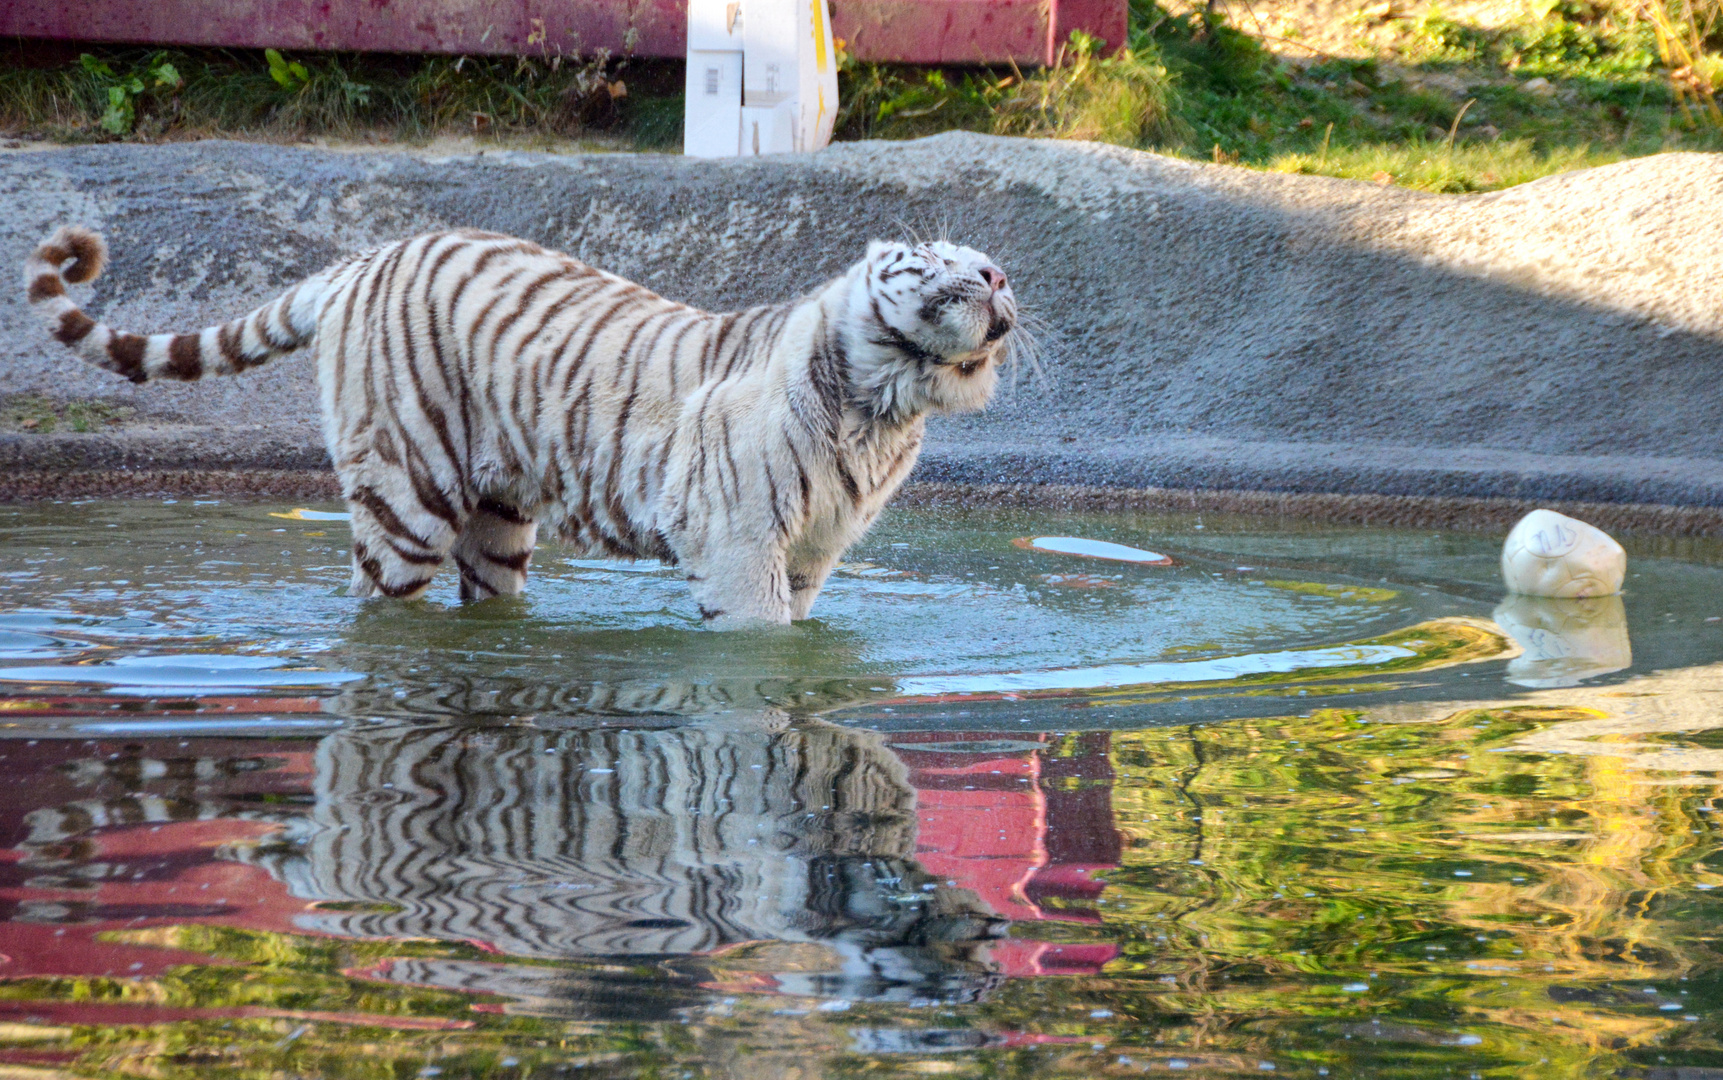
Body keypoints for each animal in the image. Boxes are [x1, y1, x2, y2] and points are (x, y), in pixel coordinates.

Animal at [26, 225, 1013, 626]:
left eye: (987, 263)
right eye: (933, 258)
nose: (998, 275)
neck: (885, 402)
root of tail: (361, 260)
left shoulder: (812, 548)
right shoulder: (736, 537)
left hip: (498, 514)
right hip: (403, 498)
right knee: (377, 600)